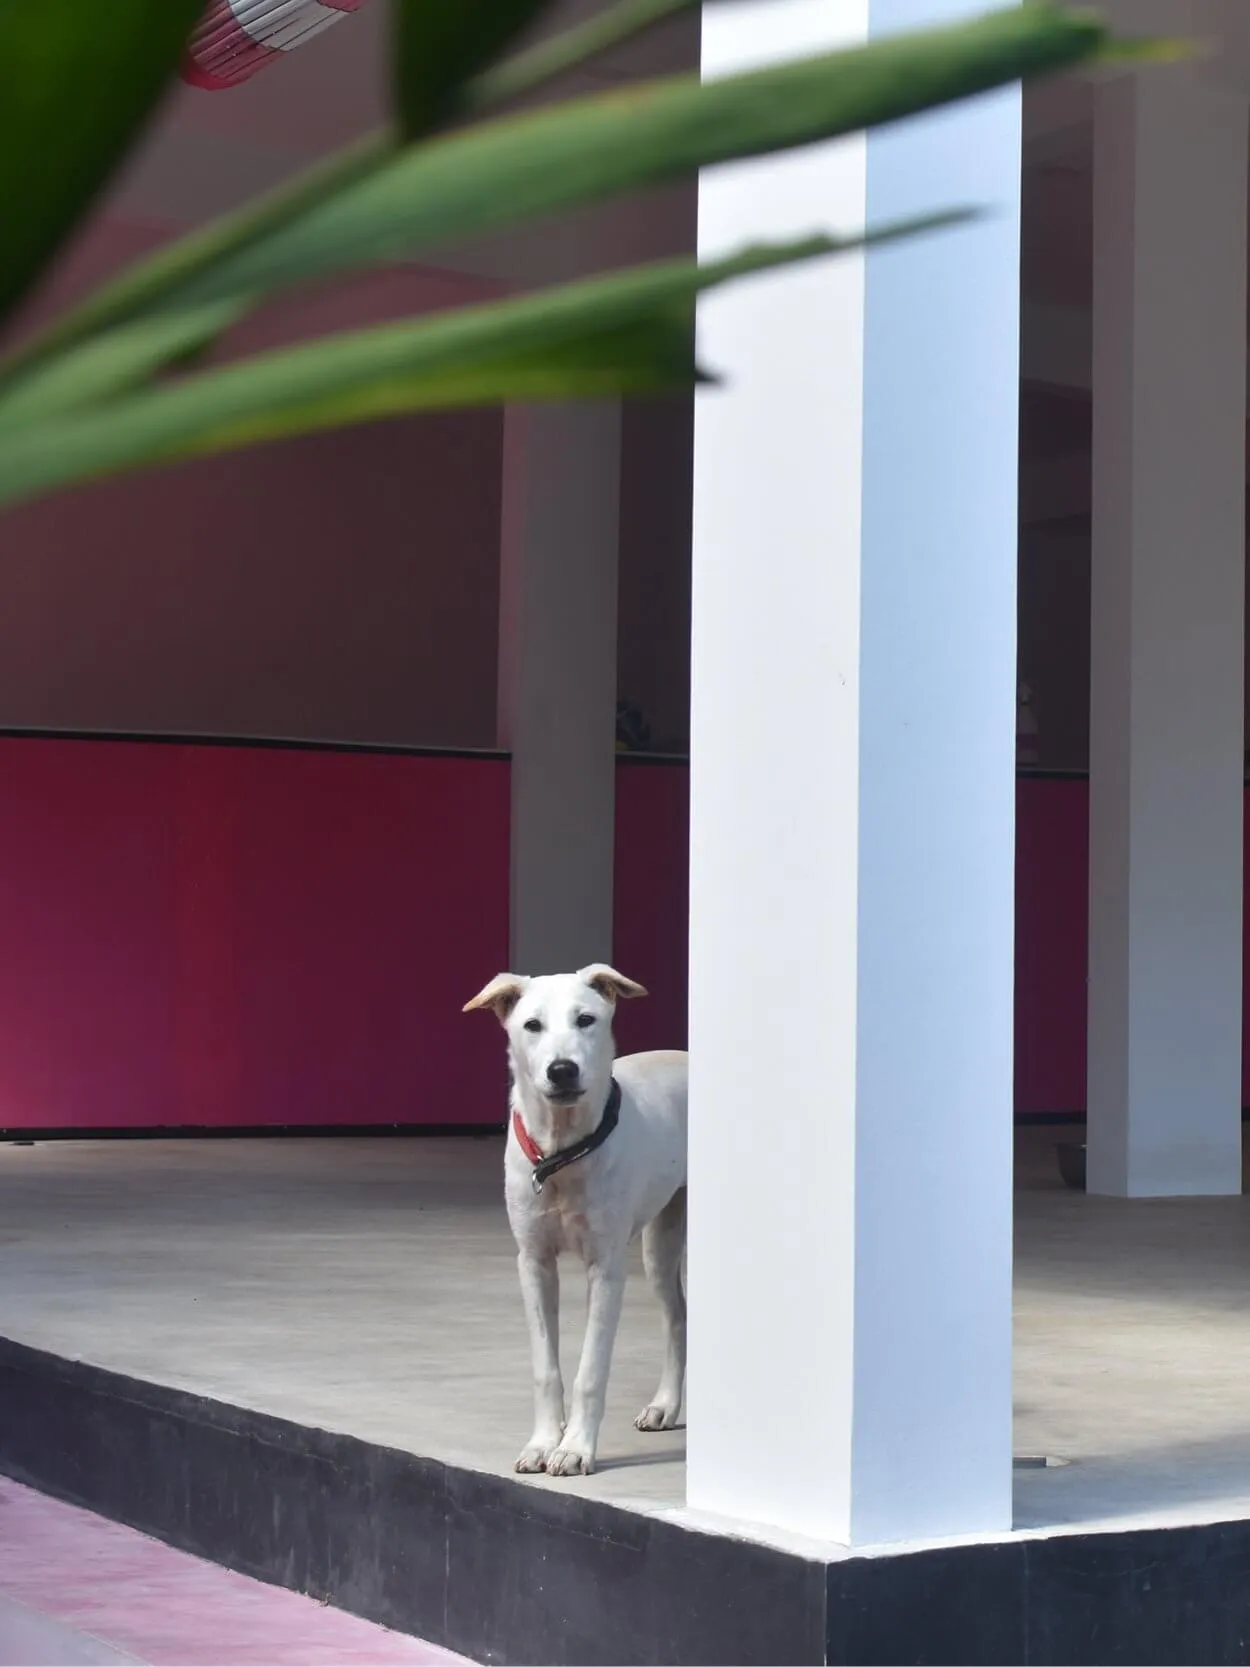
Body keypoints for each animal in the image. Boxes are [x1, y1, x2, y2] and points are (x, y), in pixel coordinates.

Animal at [466, 973, 690, 1480]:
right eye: (531, 1025)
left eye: (586, 1019)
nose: (563, 1070)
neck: (562, 1151)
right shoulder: (533, 1263)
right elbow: (545, 1367)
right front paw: (543, 1442)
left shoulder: (606, 1269)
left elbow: (591, 1368)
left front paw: (575, 1448)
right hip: (660, 1243)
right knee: (677, 1317)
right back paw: (665, 1406)